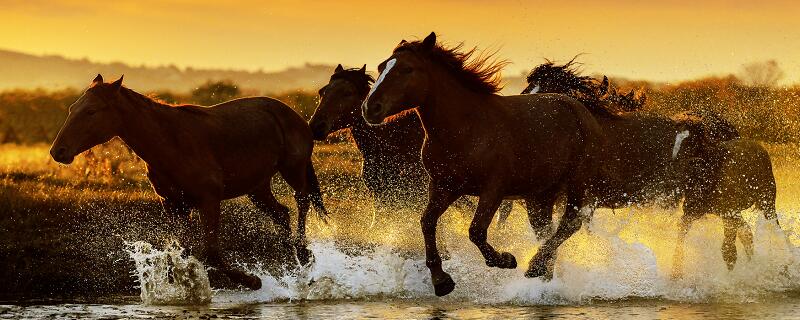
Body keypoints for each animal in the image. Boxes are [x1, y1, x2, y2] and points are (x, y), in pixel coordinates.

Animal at [50, 75, 326, 290]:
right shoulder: (174, 205)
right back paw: (295, 264)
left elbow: (210, 253)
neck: (170, 143)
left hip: (293, 169)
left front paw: (252, 281)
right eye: (72, 108)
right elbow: (183, 252)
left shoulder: (209, 200)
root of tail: (294, 115)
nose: (58, 151)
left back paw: (304, 255)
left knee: (302, 200)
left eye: (91, 111)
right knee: (282, 213)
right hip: (257, 188)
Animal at [360, 32, 604, 296]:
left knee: (570, 224)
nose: (370, 108)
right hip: (539, 195)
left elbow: (476, 230)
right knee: (546, 231)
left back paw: (534, 266)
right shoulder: (443, 187)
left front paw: (505, 259)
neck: (466, 130)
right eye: (381, 67)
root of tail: (580, 109)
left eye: (407, 69)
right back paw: (543, 276)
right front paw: (441, 281)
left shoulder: (493, 190)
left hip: (577, 184)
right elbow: (427, 222)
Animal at [520, 62, 780, 276]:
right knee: (743, 231)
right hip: (709, 203)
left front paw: (537, 269)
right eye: (527, 91)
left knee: (738, 231)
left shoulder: (582, 198)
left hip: (709, 201)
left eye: (544, 96)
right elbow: (550, 235)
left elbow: (560, 233)